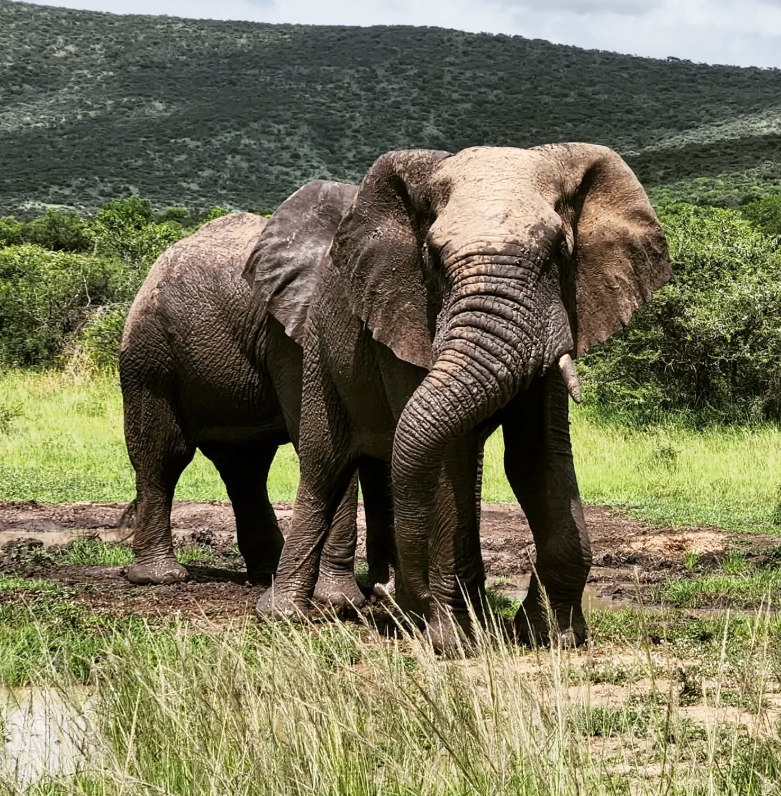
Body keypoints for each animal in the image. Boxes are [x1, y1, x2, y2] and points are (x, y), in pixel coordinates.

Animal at [120, 201, 396, 608]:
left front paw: (383, 592)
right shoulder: (294, 334)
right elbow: (329, 442)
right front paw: (340, 600)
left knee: (245, 466)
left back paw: (267, 574)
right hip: (149, 353)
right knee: (164, 454)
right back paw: (161, 577)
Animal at [245, 145, 672, 648]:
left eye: (557, 253)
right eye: (432, 259)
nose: (404, 599)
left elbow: (536, 456)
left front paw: (552, 635)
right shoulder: (406, 313)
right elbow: (448, 459)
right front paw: (451, 640)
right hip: (317, 349)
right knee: (323, 464)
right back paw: (290, 615)